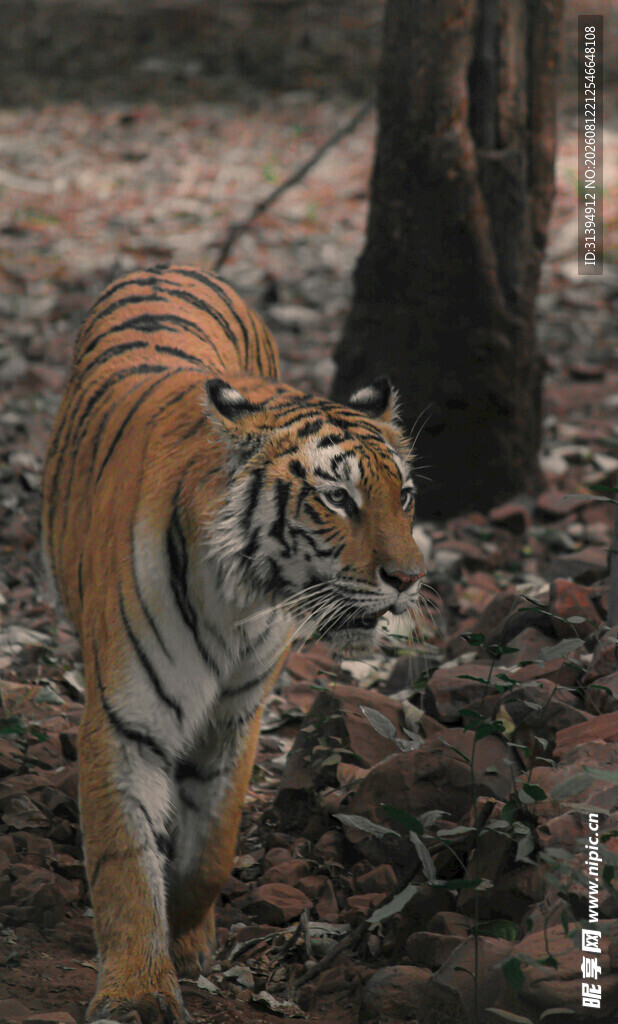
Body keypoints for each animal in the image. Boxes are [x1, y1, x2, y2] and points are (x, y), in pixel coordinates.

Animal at [41, 264, 426, 1024]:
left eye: (405, 496)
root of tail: (170, 265)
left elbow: (213, 846)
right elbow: (124, 863)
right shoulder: (124, 721)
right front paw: (137, 991)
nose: (408, 579)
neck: (241, 598)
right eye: (338, 499)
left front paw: (190, 935)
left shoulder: (237, 716)